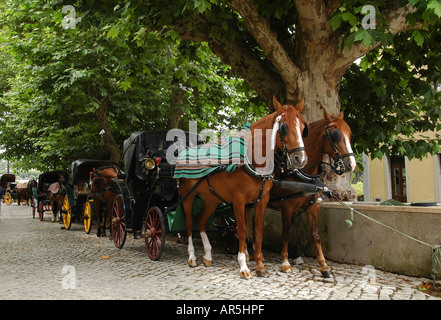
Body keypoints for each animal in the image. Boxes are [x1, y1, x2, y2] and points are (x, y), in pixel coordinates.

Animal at [177, 96, 308, 278]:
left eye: (303, 127)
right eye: (283, 128)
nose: (300, 159)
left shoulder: (262, 200)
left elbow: (258, 232)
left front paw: (260, 266)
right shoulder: (238, 200)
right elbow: (242, 231)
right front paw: (244, 266)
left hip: (211, 199)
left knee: (201, 220)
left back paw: (208, 255)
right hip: (187, 195)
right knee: (189, 223)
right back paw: (192, 257)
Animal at [270, 110, 356, 278]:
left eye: (350, 134)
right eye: (336, 135)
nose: (352, 164)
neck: (303, 175)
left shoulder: (313, 206)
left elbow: (316, 235)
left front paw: (324, 266)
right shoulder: (286, 207)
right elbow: (286, 233)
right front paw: (285, 262)